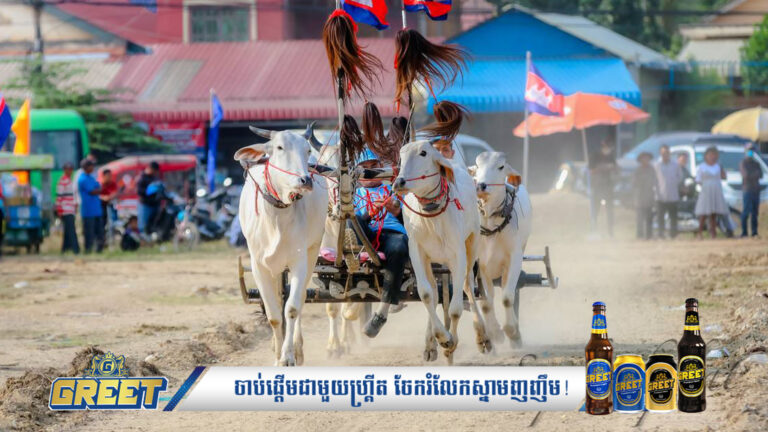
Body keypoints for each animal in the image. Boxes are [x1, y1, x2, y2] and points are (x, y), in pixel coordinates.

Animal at [236, 126, 329, 366]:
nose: (305, 180)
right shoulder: (259, 266)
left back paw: (298, 348)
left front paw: (288, 356)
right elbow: (274, 316)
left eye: (307, 150)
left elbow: (292, 309)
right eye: (279, 147)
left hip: (313, 251)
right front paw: (277, 356)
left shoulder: (299, 262)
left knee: (302, 298)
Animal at [392, 140, 491, 363]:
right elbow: (427, 294)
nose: (399, 182)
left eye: (423, 153)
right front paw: (441, 338)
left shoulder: (458, 255)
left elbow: (455, 308)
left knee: (468, 287)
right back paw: (431, 344)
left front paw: (450, 343)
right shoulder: (417, 253)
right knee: (437, 294)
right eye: (401, 155)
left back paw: (482, 337)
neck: (432, 217)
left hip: (472, 245)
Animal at [472, 151, 533, 346]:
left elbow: (507, 298)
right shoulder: (479, 266)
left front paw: (512, 331)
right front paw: (495, 333)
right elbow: (485, 302)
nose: (480, 185)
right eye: (477, 166)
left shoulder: (514, 259)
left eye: (500, 166)